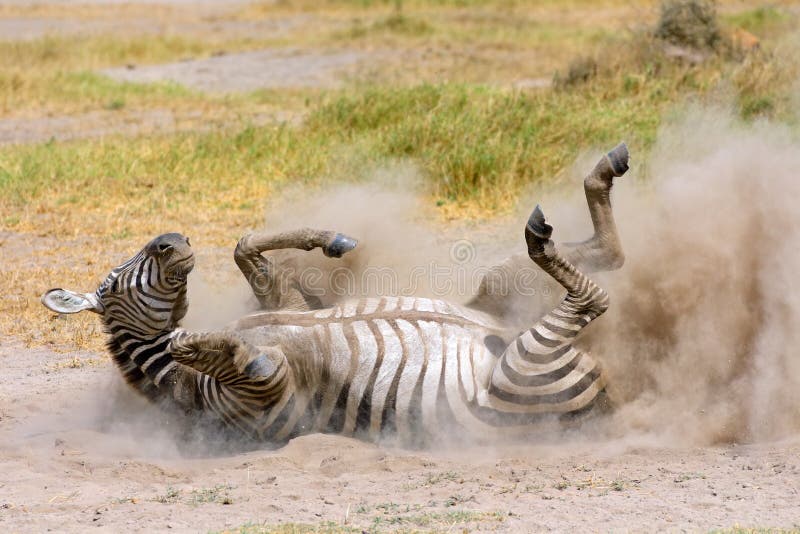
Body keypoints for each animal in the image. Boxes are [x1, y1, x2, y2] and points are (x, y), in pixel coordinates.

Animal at [42, 143, 632, 448]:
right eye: (111, 282)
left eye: (156, 248)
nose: (173, 241)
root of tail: (608, 398)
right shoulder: (269, 393)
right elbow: (232, 352)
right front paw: (193, 344)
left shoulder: (288, 306)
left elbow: (245, 249)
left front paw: (332, 240)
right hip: (517, 370)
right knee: (594, 297)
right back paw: (551, 230)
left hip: (498, 290)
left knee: (608, 261)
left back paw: (601, 174)